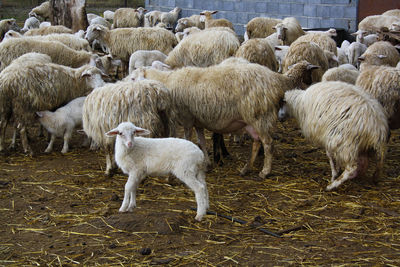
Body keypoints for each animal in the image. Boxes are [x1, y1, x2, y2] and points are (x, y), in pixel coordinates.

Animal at [131, 59, 318, 179]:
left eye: (133, 78)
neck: (166, 83)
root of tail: (276, 78)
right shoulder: (197, 121)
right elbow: (201, 142)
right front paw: (207, 163)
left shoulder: (186, 119)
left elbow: (188, 140)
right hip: (252, 119)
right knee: (257, 142)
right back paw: (245, 169)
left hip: (259, 115)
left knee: (268, 144)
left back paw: (265, 172)